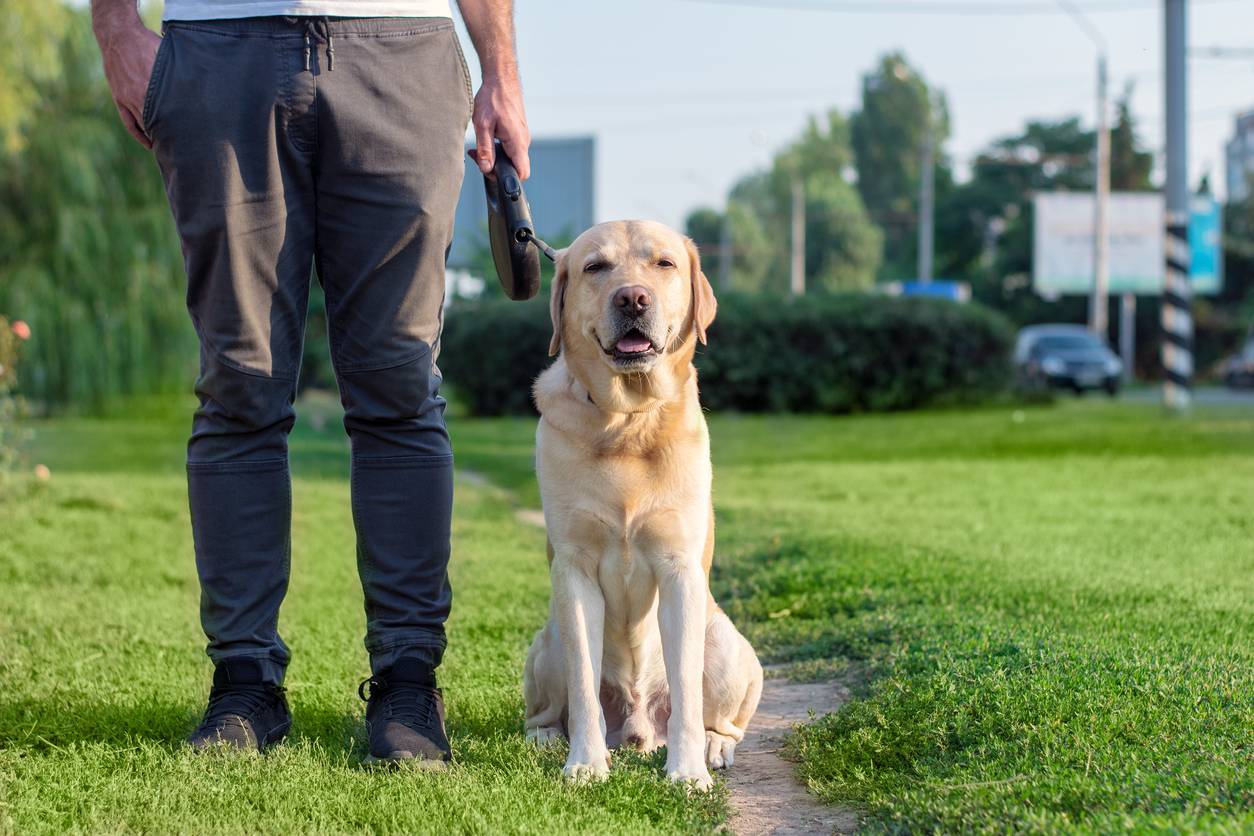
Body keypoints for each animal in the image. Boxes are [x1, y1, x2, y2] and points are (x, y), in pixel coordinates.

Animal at [521, 219, 757, 787]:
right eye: (595, 267)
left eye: (664, 263)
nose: (632, 298)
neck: (627, 421)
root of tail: (637, 728)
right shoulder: (575, 570)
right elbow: (583, 685)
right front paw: (585, 763)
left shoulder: (678, 568)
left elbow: (689, 693)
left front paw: (688, 772)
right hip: (547, 641)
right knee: (547, 709)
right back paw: (548, 739)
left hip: (728, 646)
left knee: (718, 715)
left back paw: (713, 746)